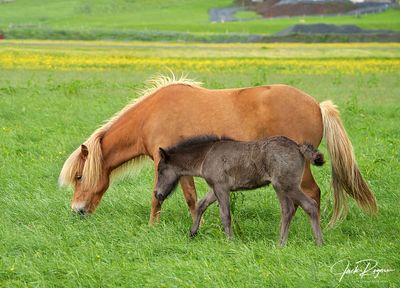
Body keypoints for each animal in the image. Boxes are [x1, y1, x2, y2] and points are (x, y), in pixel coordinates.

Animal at [153, 135, 324, 245]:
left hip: (287, 185)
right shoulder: (215, 187)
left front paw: (230, 242)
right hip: (281, 187)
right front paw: (192, 233)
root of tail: (298, 147)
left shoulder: (221, 187)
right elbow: (201, 204)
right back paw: (281, 243)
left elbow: (225, 215)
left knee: (309, 205)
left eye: (160, 170)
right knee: (288, 210)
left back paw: (319, 242)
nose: (157, 194)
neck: (206, 155)